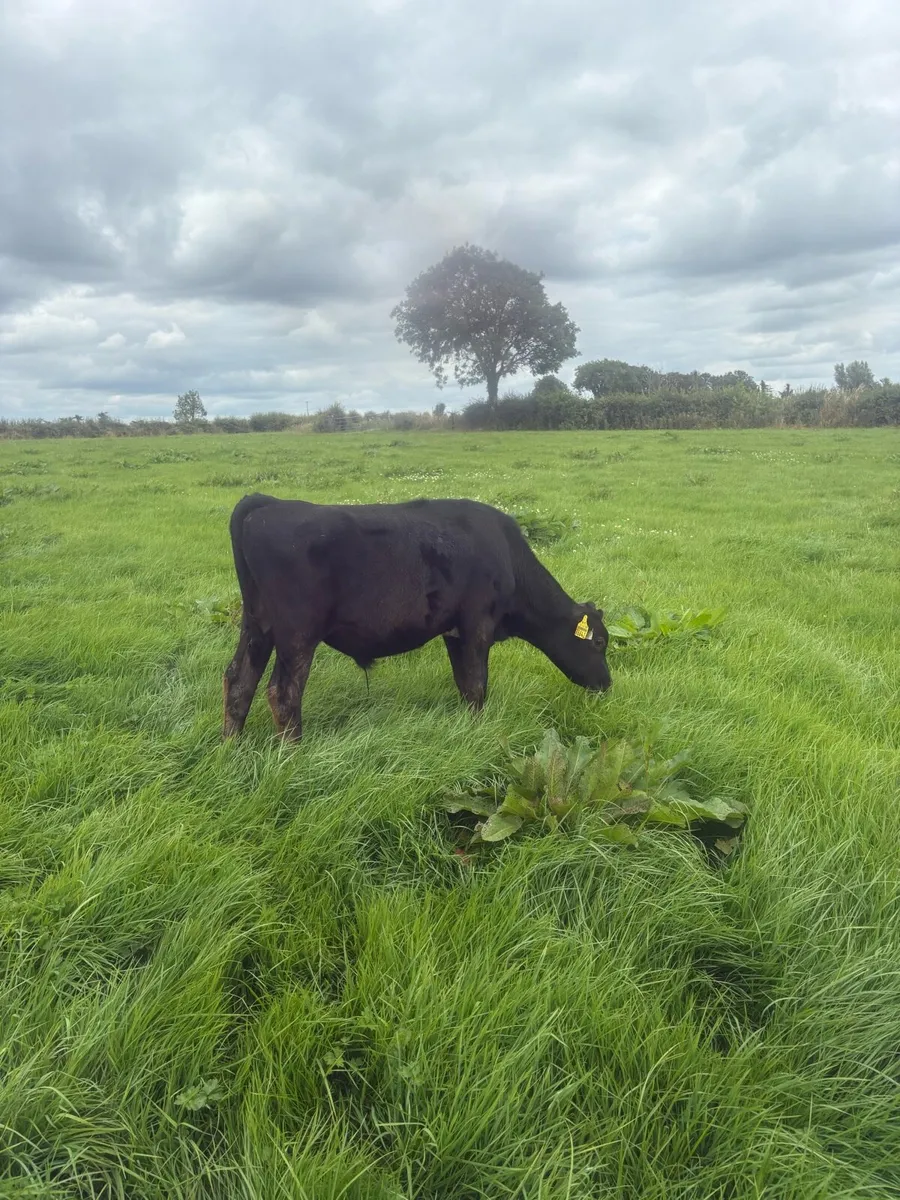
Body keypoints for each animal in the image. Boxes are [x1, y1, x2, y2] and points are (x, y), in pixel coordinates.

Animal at [222, 492, 612, 741]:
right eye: (600, 643)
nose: (607, 684)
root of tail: (268, 503)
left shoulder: (454, 631)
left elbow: (465, 684)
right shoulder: (477, 624)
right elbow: (477, 685)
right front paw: (478, 732)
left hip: (257, 625)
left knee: (239, 680)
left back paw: (232, 748)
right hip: (298, 634)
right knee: (283, 693)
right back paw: (293, 755)